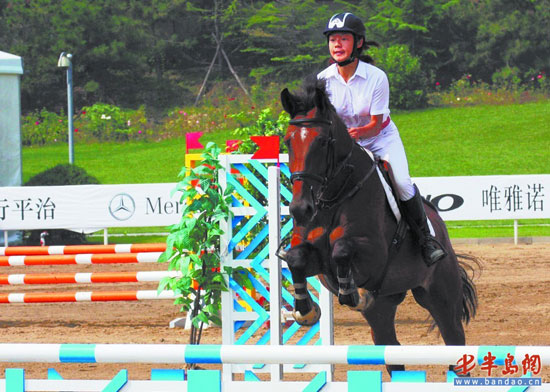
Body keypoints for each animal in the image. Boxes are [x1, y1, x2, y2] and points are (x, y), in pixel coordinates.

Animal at [280, 76, 478, 374]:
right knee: (391, 350)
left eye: (323, 141)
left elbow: (342, 250)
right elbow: (296, 258)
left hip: (440, 296)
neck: (334, 198)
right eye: (288, 141)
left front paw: (350, 293)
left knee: (454, 339)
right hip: (382, 309)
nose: (300, 209)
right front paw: (306, 309)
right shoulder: (315, 258)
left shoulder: (373, 256)